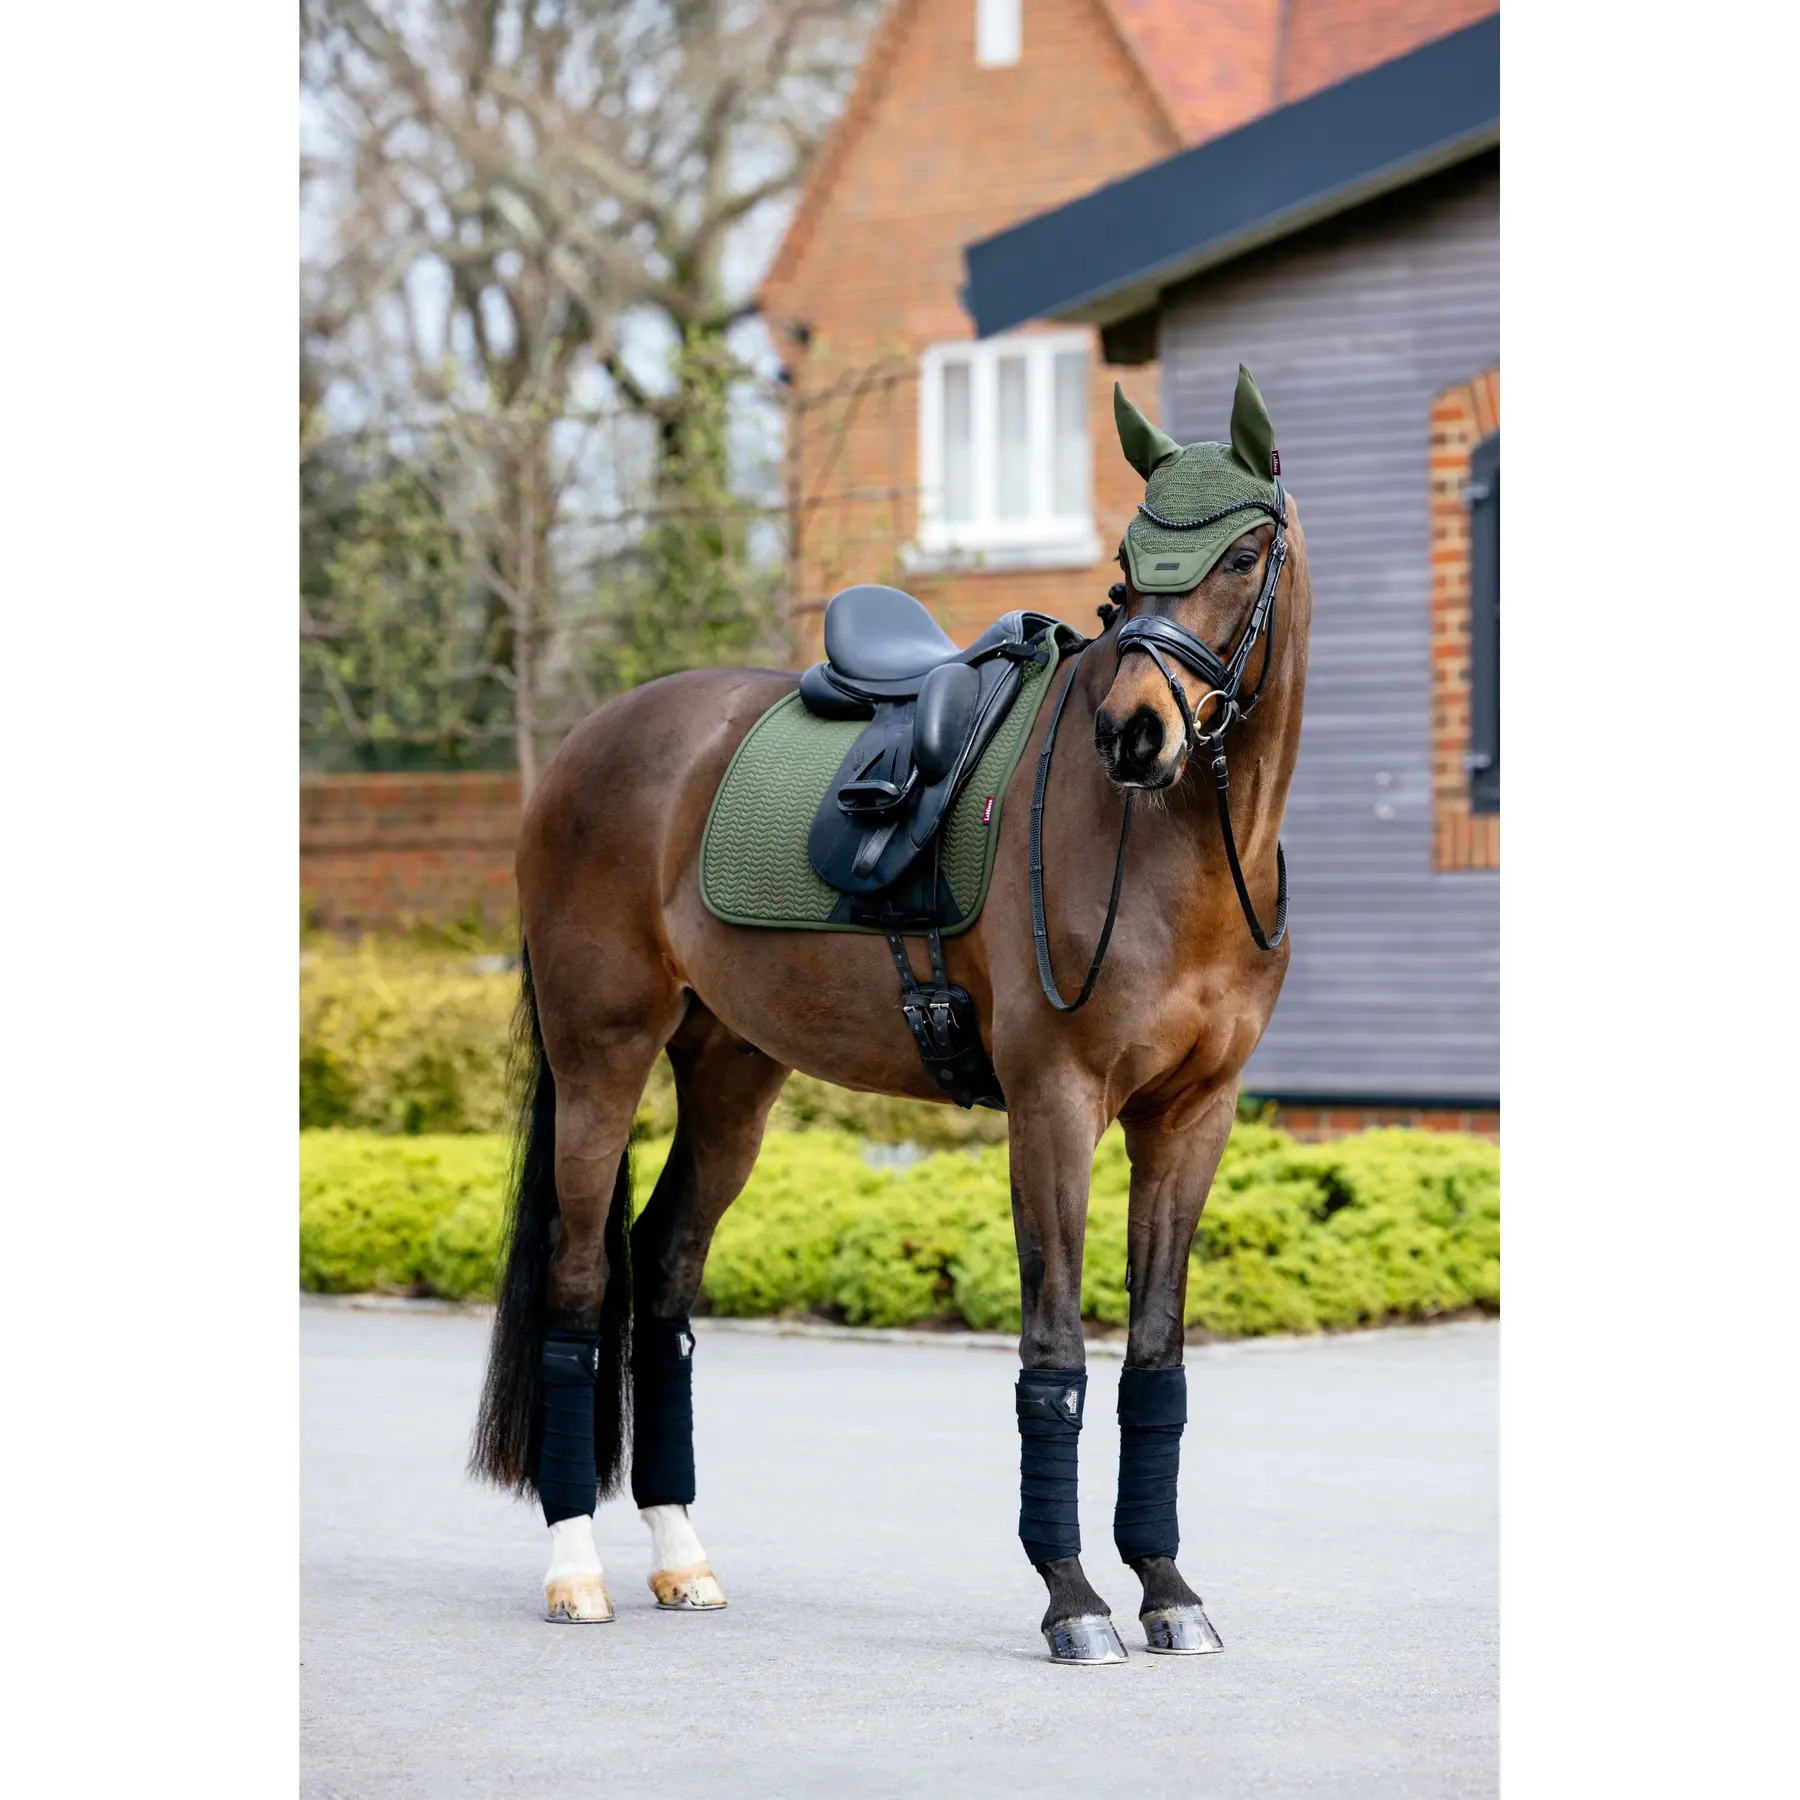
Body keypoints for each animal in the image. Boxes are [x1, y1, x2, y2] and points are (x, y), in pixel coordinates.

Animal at [470, 365, 1312, 1663]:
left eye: (1241, 554)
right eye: (1128, 564)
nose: (1134, 734)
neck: (1178, 851)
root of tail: (589, 746)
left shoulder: (1193, 1118)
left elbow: (1155, 1360)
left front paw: (1168, 1588)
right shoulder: (1054, 1107)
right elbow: (1054, 1352)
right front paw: (1073, 1597)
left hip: (733, 1074)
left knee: (663, 1271)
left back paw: (682, 1557)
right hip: (601, 1055)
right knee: (577, 1282)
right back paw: (576, 1573)